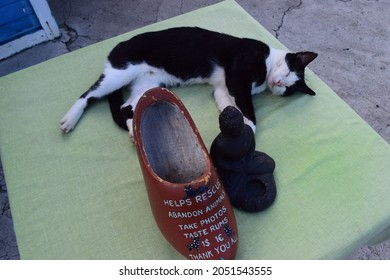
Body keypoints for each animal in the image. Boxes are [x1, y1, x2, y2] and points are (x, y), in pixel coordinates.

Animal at [60, 26, 316, 138]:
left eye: (290, 88)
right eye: (289, 71)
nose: (280, 84)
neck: (268, 62)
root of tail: (118, 46)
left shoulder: (223, 89)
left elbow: (229, 107)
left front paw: (237, 128)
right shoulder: (238, 77)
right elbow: (248, 109)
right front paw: (250, 130)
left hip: (149, 83)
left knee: (126, 105)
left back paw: (134, 129)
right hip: (119, 73)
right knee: (88, 94)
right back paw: (69, 120)